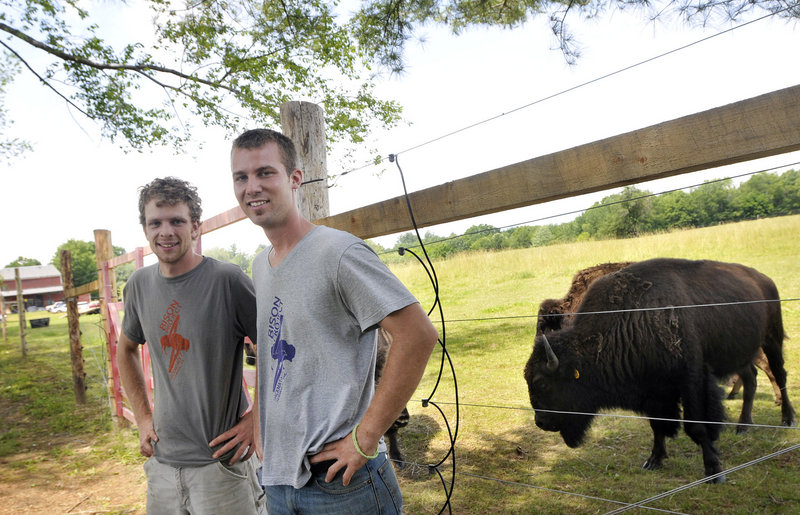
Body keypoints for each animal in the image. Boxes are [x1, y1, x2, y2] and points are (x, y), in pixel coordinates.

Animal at [528, 258, 796, 484]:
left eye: (542, 383)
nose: (541, 422)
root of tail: (763, 278)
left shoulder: (692, 381)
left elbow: (697, 426)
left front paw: (714, 471)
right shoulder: (653, 391)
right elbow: (658, 425)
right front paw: (653, 460)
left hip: (771, 339)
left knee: (779, 373)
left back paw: (787, 418)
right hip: (742, 352)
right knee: (751, 378)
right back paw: (743, 426)